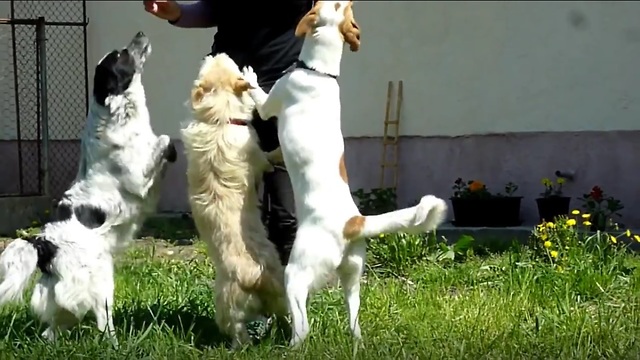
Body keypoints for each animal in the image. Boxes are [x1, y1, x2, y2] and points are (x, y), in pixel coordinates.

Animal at [0, 32, 175, 344]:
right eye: (121, 55)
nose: (141, 33)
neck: (115, 110)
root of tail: (45, 244)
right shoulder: (139, 177)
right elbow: (165, 139)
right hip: (101, 280)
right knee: (104, 324)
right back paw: (116, 346)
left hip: (68, 298)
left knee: (50, 331)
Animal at [181, 53, 288, 348]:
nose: (215, 53)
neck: (219, 120)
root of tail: (257, 277)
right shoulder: (260, 159)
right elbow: (270, 156)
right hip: (228, 307)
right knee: (241, 334)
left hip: (275, 299)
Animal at [242, 0, 448, 348]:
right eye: (345, 7)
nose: (351, 0)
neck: (319, 72)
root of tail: (353, 222)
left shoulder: (271, 105)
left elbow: (259, 96)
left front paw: (249, 77)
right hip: (352, 280)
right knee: (354, 322)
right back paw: (356, 344)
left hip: (297, 273)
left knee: (302, 325)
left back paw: (291, 347)